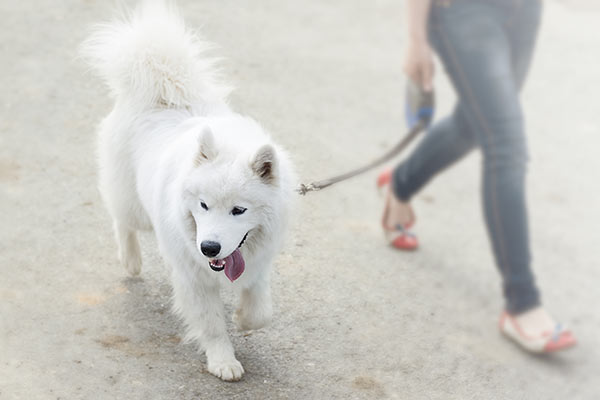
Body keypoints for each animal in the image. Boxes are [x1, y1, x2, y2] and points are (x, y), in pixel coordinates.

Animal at [81, 0, 296, 382]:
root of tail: (162, 94)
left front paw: (244, 319)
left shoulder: (259, 262)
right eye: (203, 205)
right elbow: (211, 325)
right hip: (134, 204)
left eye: (239, 210)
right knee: (122, 220)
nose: (209, 247)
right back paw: (131, 260)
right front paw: (223, 361)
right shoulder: (194, 279)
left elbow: (261, 310)